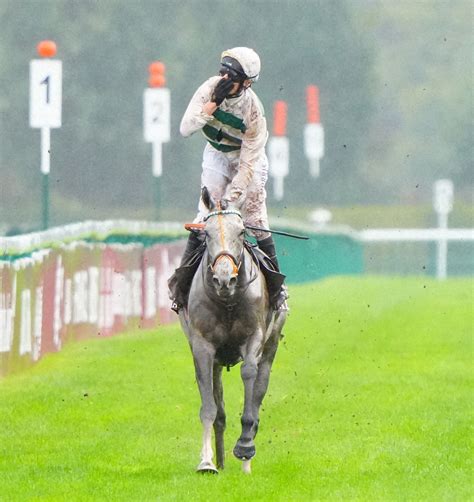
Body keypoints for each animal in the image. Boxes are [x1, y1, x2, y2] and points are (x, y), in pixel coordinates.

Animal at [178, 188, 286, 474]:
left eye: (241, 232)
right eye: (205, 234)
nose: (224, 279)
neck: (228, 300)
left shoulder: (254, 337)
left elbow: (249, 376)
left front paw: (245, 447)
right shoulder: (203, 346)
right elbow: (209, 406)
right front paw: (206, 462)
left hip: (271, 345)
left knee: (260, 386)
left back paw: (246, 457)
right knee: (219, 407)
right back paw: (222, 461)